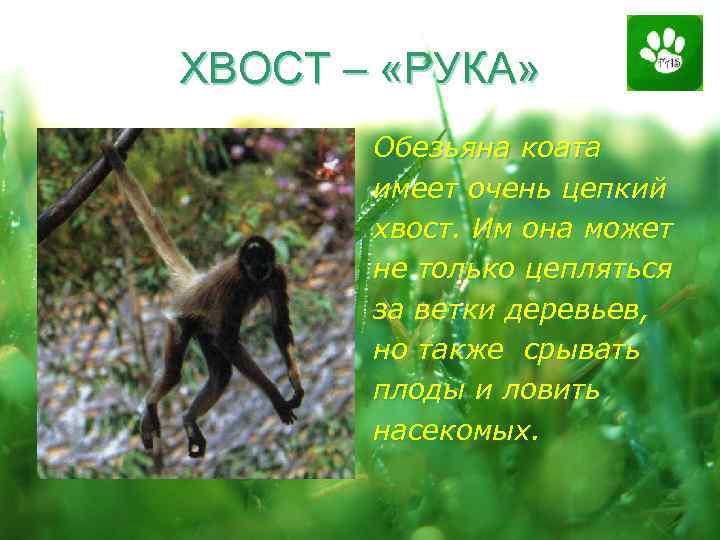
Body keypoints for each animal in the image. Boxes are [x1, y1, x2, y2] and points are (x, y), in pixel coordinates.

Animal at [101, 143, 304, 458]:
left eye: (263, 264)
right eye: (252, 264)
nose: (259, 270)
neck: (252, 280)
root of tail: (194, 283)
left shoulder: (276, 275)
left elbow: (280, 327)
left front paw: (295, 382)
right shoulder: (235, 286)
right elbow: (229, 341)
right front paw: (276, 399)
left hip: (203, 327)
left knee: (221, 374)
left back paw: (188, 419)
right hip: (180, 320)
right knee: (174, 373)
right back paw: (150, 404)